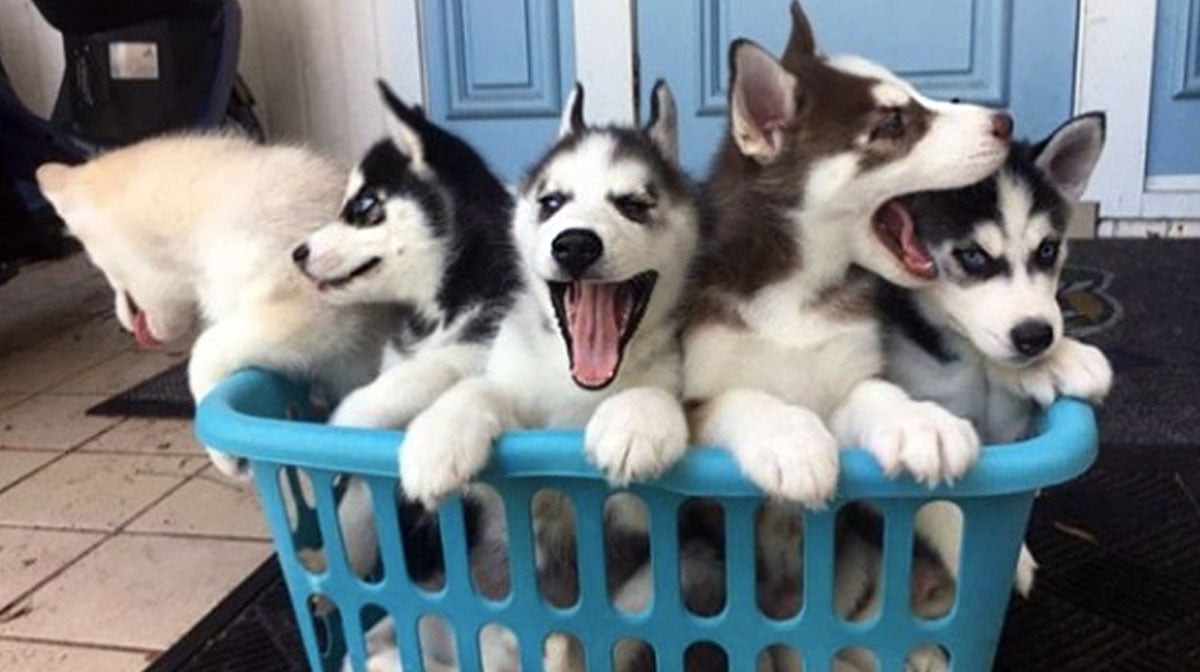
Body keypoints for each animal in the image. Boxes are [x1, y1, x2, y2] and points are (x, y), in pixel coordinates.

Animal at [681, 0, 1008, 504]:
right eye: (892, 124)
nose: (1005, 123)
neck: (796, 284)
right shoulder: (694, 398)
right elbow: (740, 398)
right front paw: (790, 439)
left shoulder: (847, 377)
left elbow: (876, 394)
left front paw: (920, 421)